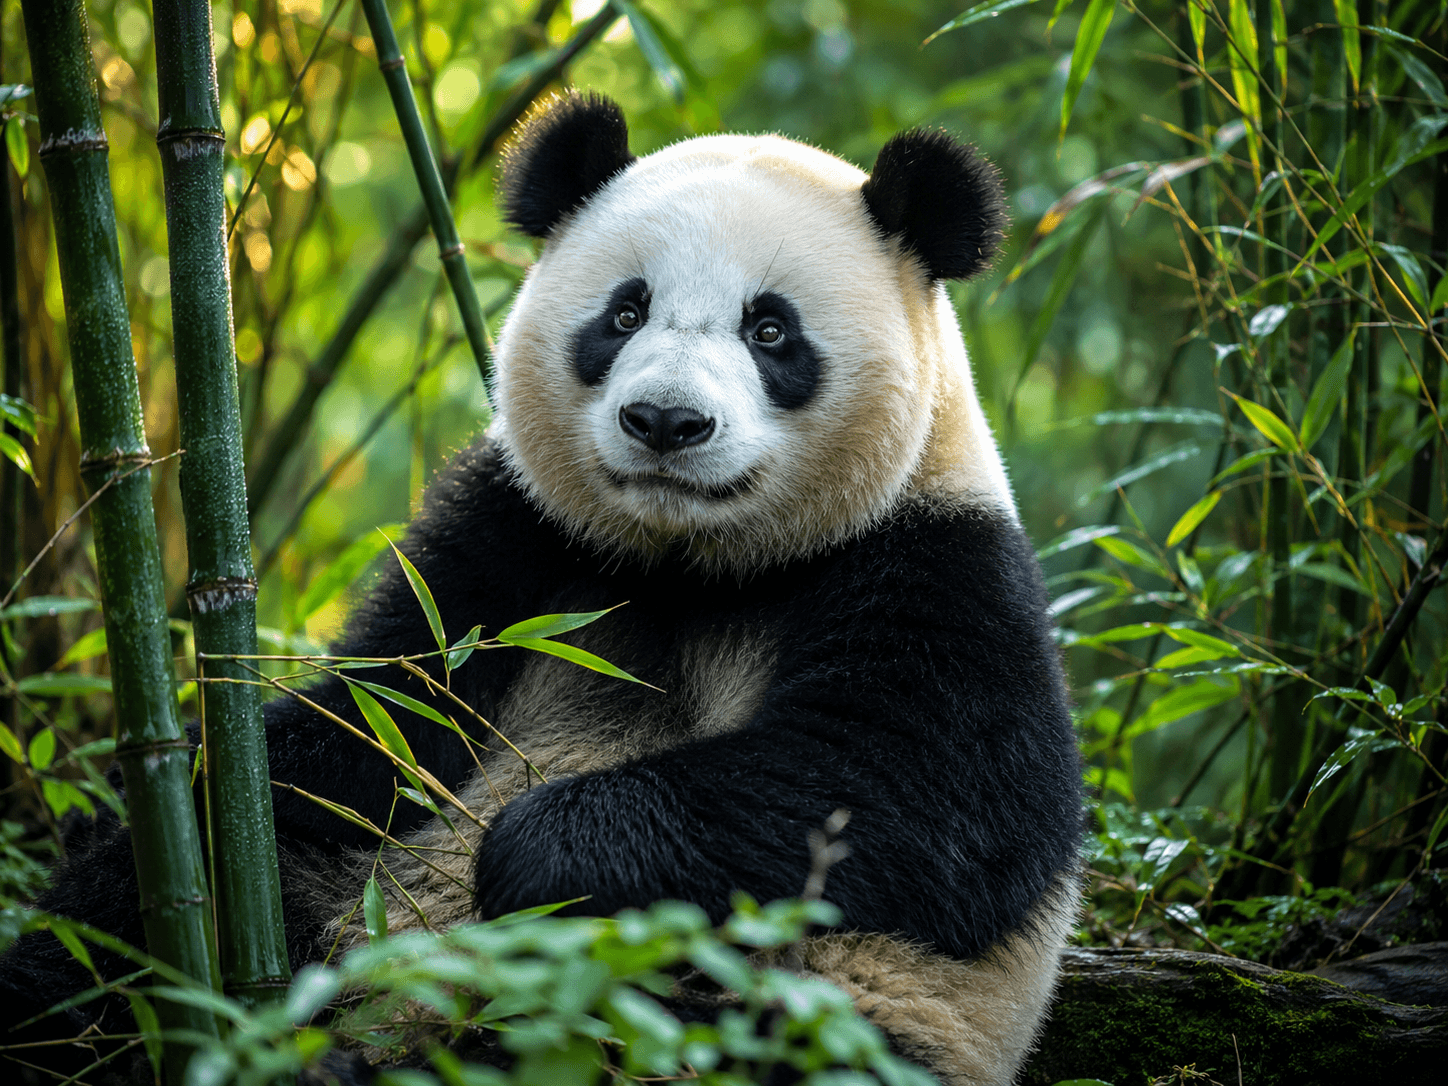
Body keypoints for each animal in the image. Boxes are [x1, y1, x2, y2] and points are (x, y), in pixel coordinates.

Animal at [1, 92, 1081, 1086]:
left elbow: (917, 799)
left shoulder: (932, 560)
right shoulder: (518, 540)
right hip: (333, 902)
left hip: (807, 1015)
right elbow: (372, 720)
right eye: (624, 312)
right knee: (125, 930)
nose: (664, 421)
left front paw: (536, 857)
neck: (689, 563)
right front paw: (198, 780)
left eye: (771, 330)